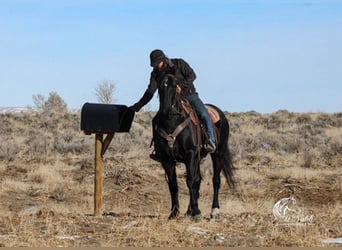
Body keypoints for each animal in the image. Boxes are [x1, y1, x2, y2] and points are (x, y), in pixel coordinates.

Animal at [153, 73, 235, 220]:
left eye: (175, 86)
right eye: (160, 86)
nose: (167, 110)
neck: (172, 123)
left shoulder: (190, 154)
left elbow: (191, 181)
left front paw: (196, 211)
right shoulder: (167, 159)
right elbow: (174, 185)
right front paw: (174, 213)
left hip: (217, 154)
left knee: (215, 181)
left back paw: (214, 210)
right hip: (198, 158)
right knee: (198, 180)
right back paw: (188, 211)